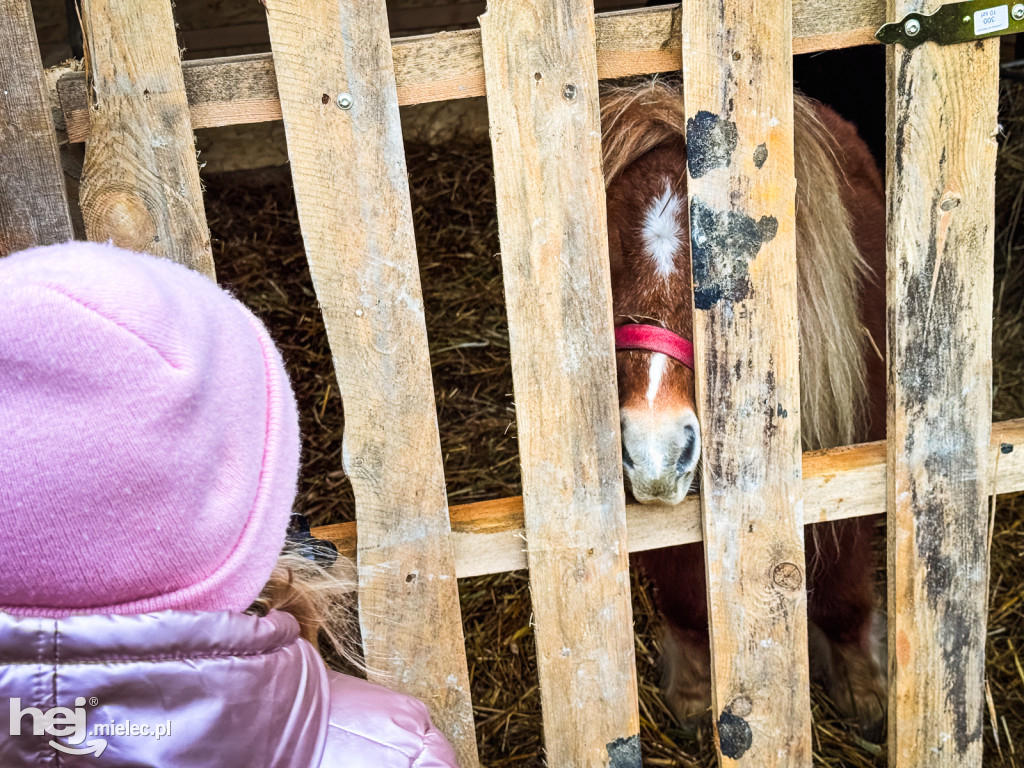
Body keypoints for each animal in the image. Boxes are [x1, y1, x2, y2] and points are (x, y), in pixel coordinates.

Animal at [598, 79, 888, 741]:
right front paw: (691, 690)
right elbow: (685, 600)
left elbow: (843, 592)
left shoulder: (851, 476)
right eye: (609, 252)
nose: (656, 450)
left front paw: (862, 688)